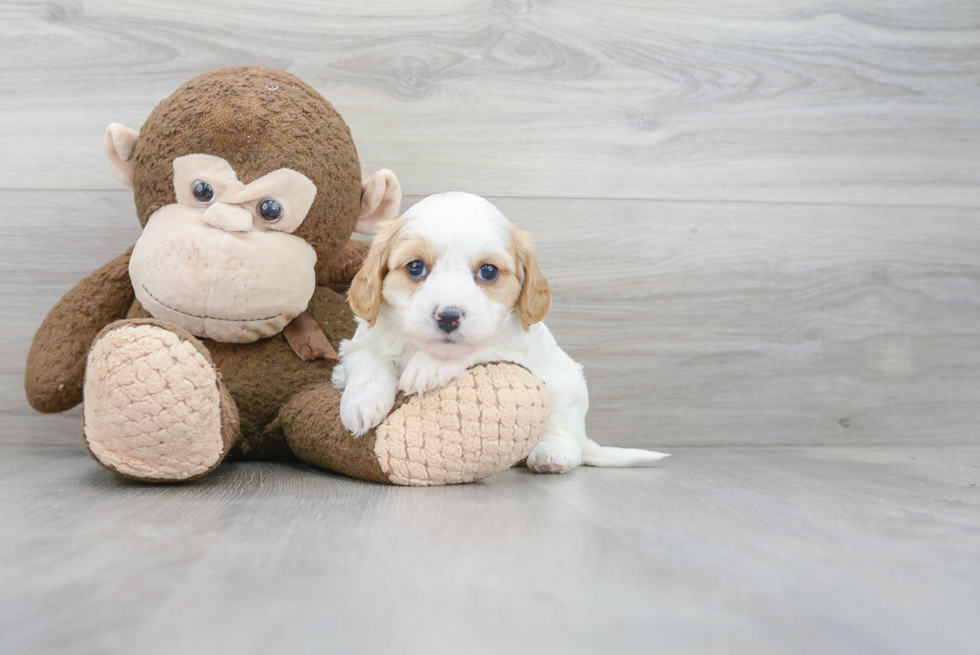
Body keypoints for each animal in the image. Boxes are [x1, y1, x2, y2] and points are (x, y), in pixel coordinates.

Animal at [334, 192, 668, 474]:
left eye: (489, 271)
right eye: (415, 267)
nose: (448, 316)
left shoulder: (512, 345)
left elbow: (482, 346)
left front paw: (428, 368)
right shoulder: (358, 344)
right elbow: (368, 361)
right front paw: (362, 403)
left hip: (566, 390)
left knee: (567, 435)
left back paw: (551, 454)